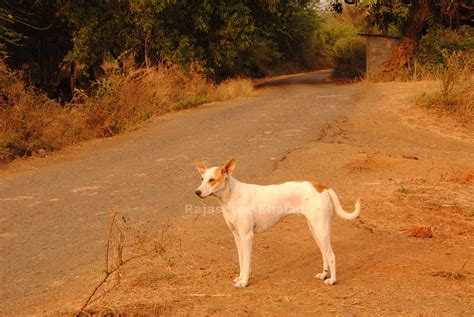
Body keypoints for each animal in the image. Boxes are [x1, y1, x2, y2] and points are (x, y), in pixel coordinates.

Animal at [193, 159, 360, 288]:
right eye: (202, 179)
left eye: (212, 180)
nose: (197, 192)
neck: (231, 195)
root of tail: (322, 186)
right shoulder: (237, 236)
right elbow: (242, 261)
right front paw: (241, 278)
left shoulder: (247, 236)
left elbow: (246, 262)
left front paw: (244, 282)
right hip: (315, 229)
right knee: (324, 253)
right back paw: (324, 275)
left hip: (321, 229)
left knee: (331, 255)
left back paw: (332, 280)